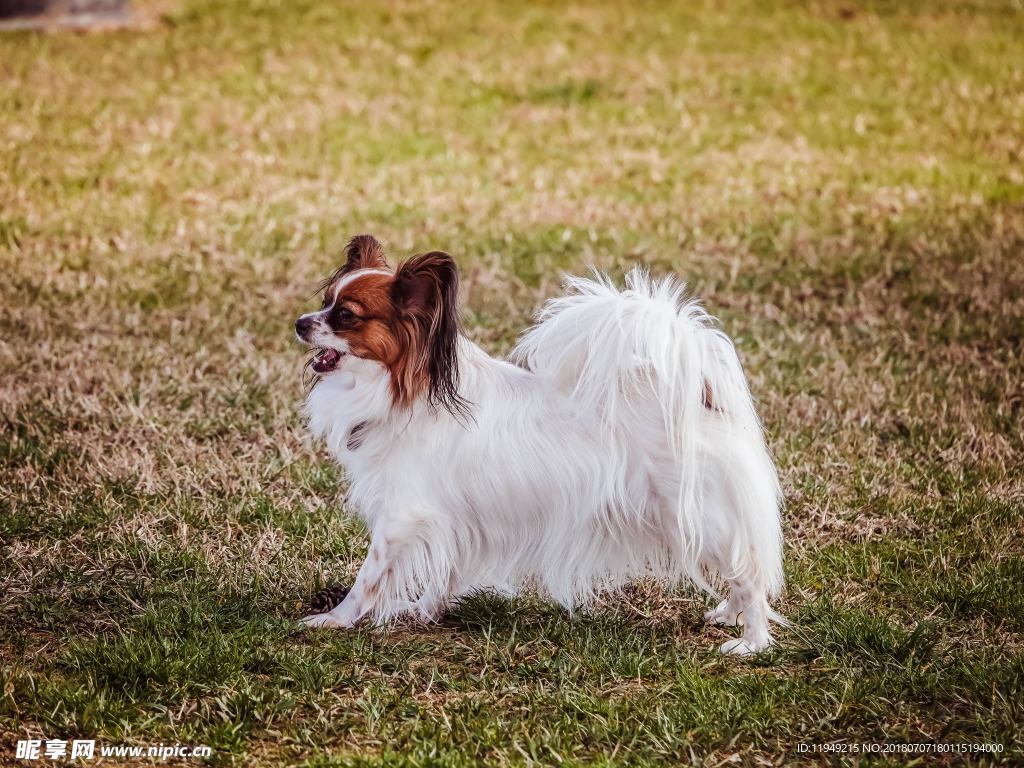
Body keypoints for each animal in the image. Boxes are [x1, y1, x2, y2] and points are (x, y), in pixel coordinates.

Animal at [294, 236, 782, 655]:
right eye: (324, 301)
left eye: (345, 315)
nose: (299, 323)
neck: (402, 390)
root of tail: (701, 397)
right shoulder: (453, 518)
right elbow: (444, 573)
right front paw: (422, 612)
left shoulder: (400, 516)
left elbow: (368, 577)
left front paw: (336, 619)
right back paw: (727, 614)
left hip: (701, 517)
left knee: (750, 573)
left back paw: (751, 642)